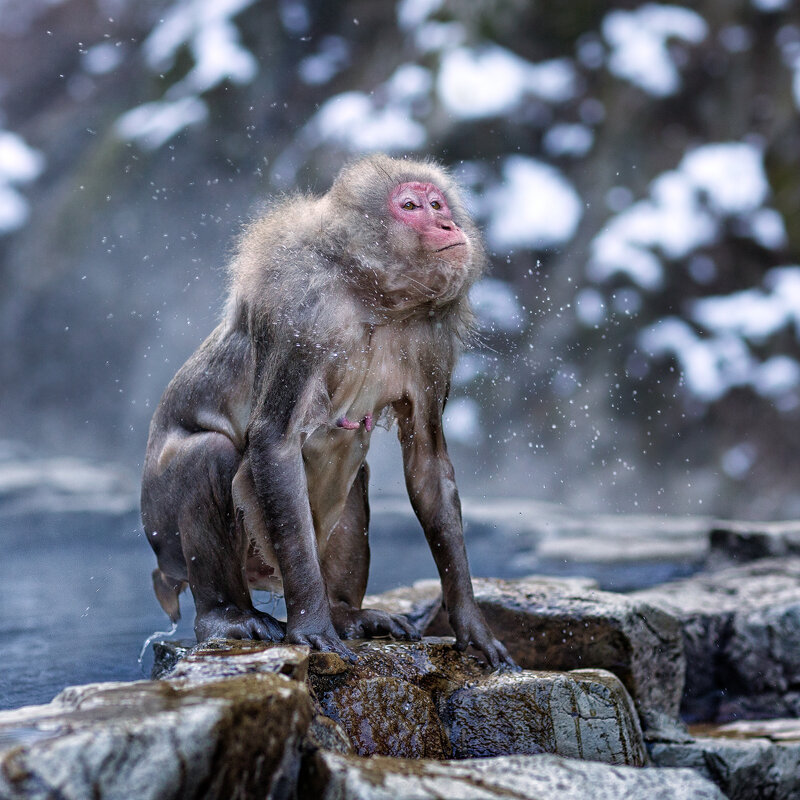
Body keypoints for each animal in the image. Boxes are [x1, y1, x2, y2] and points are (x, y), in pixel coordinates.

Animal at [142, 153, 512, 664]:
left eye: (437, 203)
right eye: (411, 206)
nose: (447, 223)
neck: (373, 296)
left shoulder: (432, 342)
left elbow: (429, 466)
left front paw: (472, 626)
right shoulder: (301, 312)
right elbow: (274, 443)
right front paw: (312, 626)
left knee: (353, 476)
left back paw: (346, 613)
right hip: (163, 534)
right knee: (209, 455)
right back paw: (227, 616)